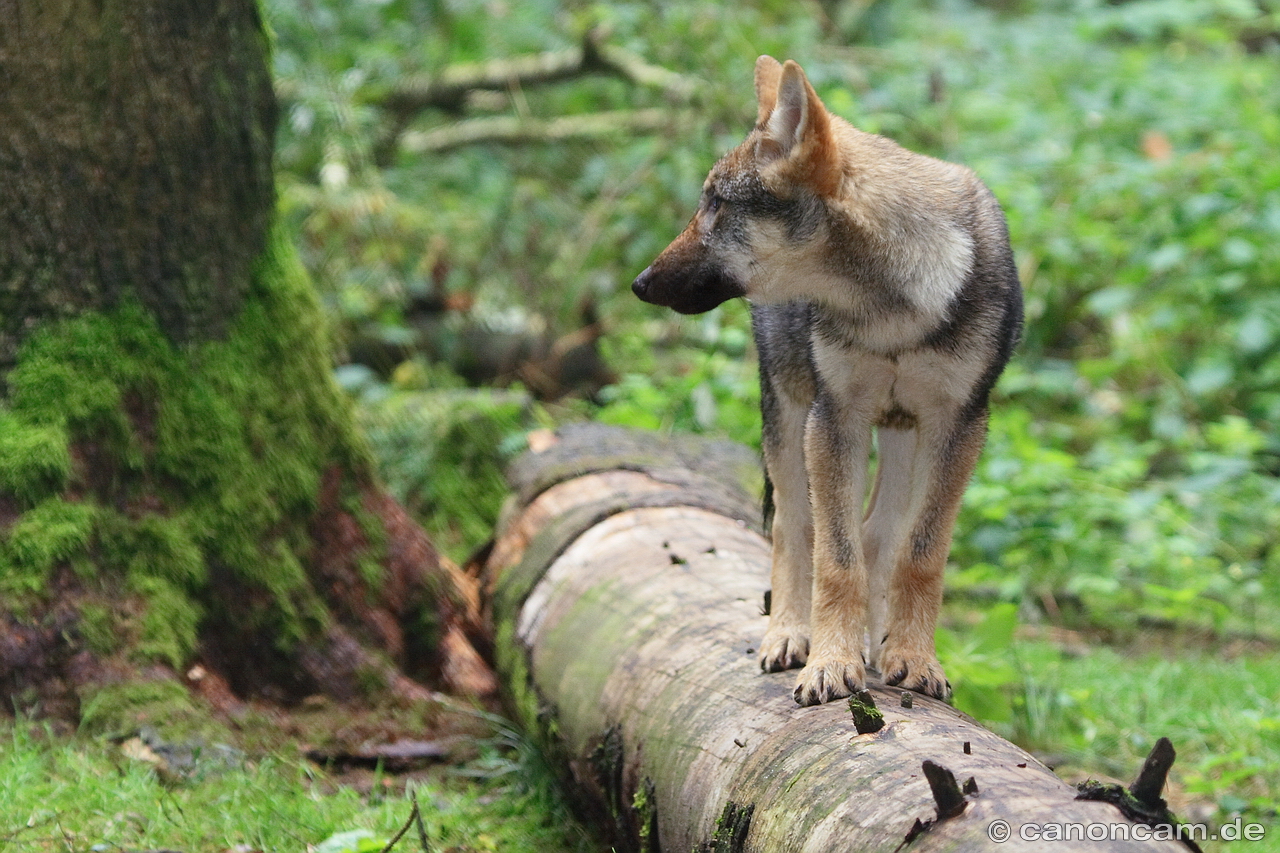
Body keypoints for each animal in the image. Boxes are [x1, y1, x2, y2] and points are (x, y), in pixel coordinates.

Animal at [629, 54, 1018, 701]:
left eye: (716, 206)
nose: (639, 283)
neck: (893, 313)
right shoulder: (834, 418)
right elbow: (834, 559)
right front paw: (830, 664)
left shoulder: (960, 426)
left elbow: (919, 555)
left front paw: (913, 659)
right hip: (789, 418)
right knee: (796, 527)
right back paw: (789, 637)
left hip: (901, 433)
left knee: (878, 535)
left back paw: (878, 645)